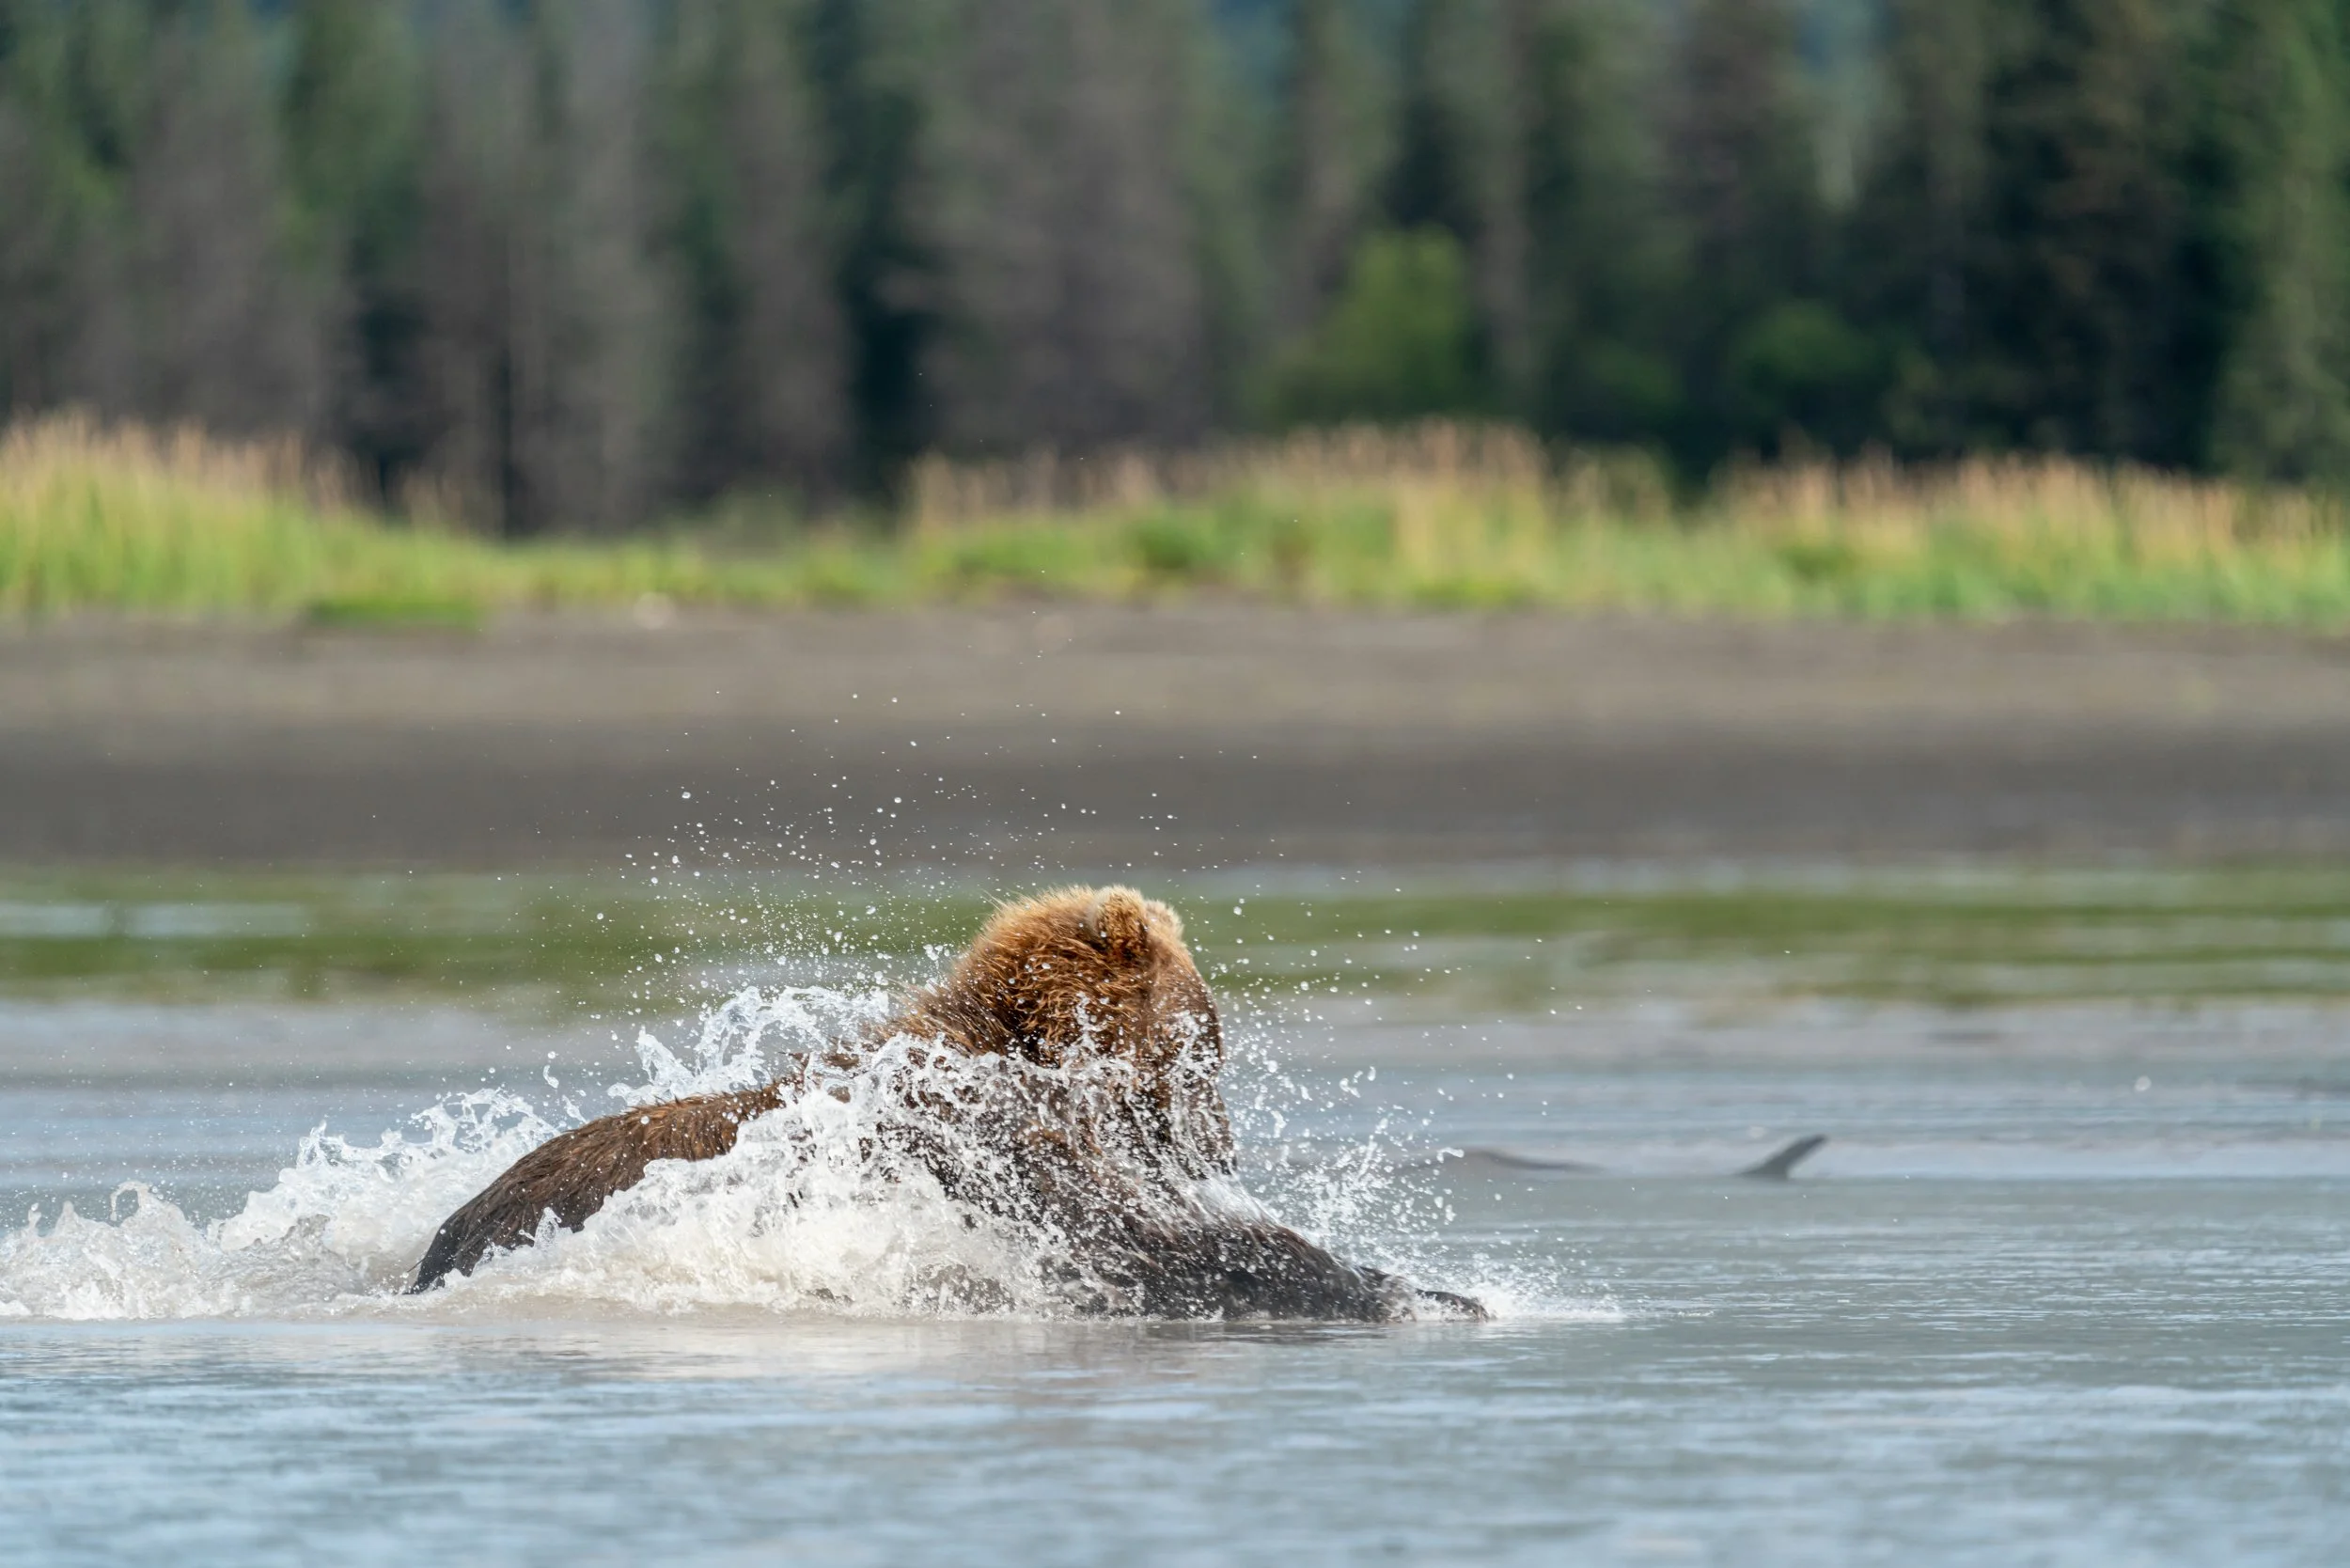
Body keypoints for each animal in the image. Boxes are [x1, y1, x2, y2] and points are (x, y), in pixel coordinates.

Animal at [409, 885, 1484, 1321]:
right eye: (1207, 1039)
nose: (1223, 1147)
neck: (1029, 1048)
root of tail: (443, 1238)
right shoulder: (979, 1130)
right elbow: (1133, 1235)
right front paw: (1422, 1290)